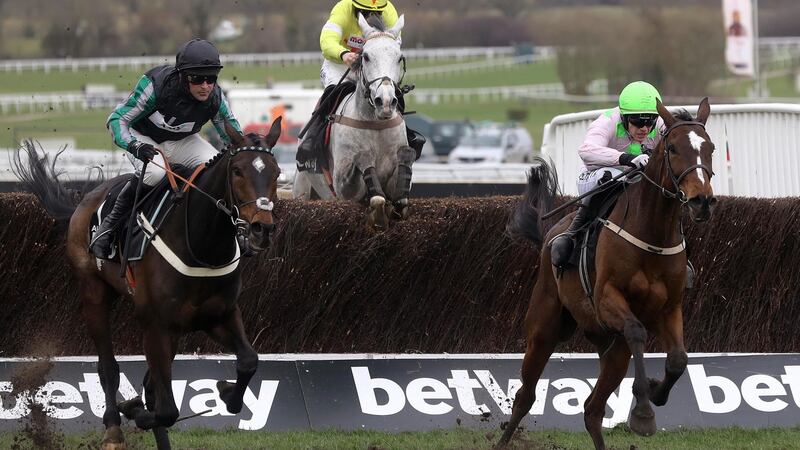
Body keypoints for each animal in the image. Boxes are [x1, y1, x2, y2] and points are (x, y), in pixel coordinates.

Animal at [14, 119, 282, 450]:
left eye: (277, 172)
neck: (201, 245)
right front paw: (135, 411)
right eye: (238, 171)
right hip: (93, 293)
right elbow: (166, 409)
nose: (261, 229)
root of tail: (85, 200)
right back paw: (114, 428)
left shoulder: (219, 315)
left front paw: (225, 391)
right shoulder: (156, 324)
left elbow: (248, 361)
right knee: (108, 367)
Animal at [296, 13, 418, 229]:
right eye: (366, 56)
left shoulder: (396, 182)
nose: (385, 102)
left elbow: (400, 198)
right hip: (303, 190)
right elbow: (373, 193)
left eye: (399, 57)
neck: (374, 123)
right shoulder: (343, 187)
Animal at [500, 99, 720, 450]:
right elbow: (637, 332)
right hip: (544, 328)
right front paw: (643, 412)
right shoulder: (607, 300)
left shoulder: (670, 307)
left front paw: (655, 392)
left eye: (710, 148)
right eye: (672, 148)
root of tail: (551, 232)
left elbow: (678, 359)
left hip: (610, 347)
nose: (702, 201)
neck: (653, 235)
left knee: (592, 409)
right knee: (525, 396)